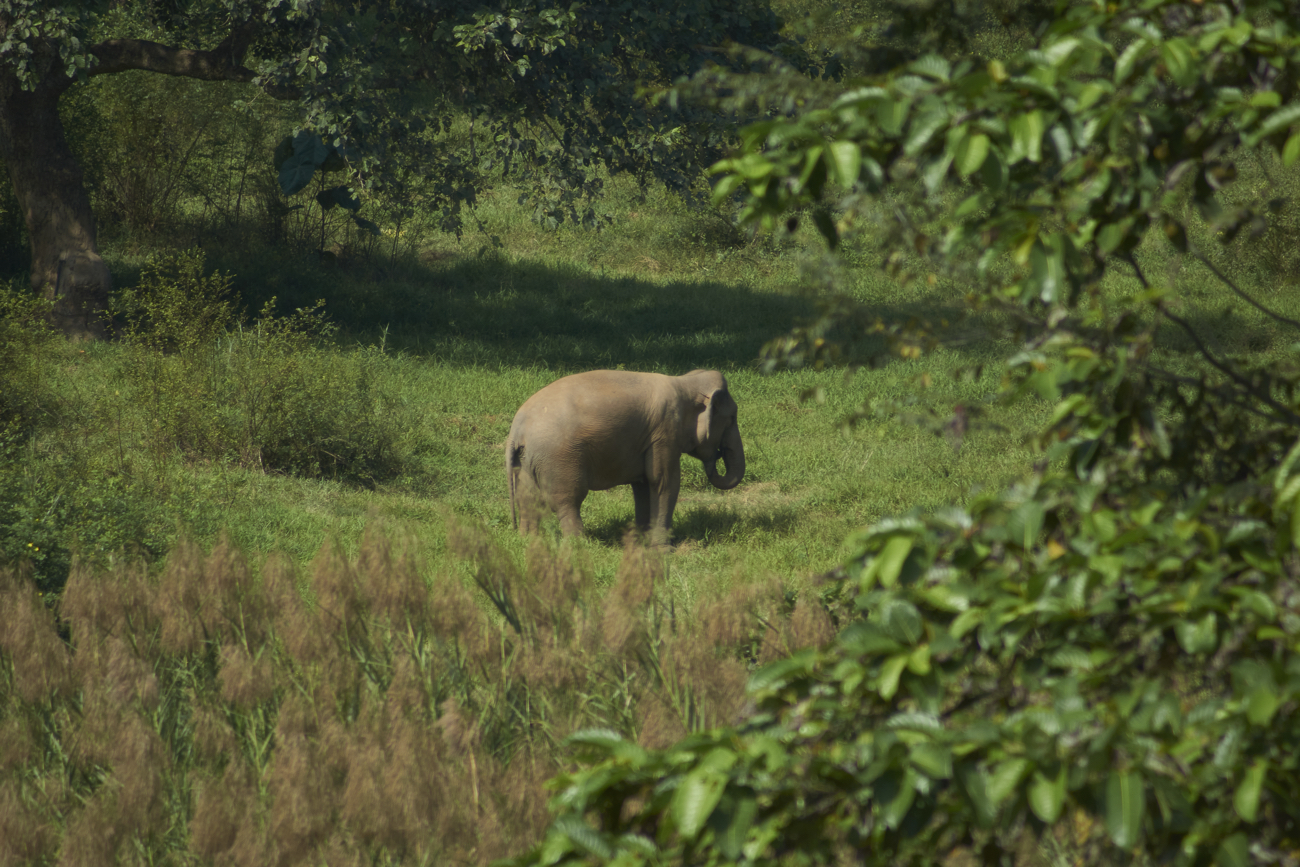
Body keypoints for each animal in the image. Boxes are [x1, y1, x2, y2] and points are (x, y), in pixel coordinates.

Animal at [509, 369, 754, 545]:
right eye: (732, 418)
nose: (717, 455)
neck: (684, 382)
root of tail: (517, 428)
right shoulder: (664, 433)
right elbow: (664, 482)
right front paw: (661, 546)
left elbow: (643, 485)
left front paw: (641, 540)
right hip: (559, 458)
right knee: (567, 500)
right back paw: (580, 545)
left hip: (528, 459)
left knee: (528, 498)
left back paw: (528, 541)